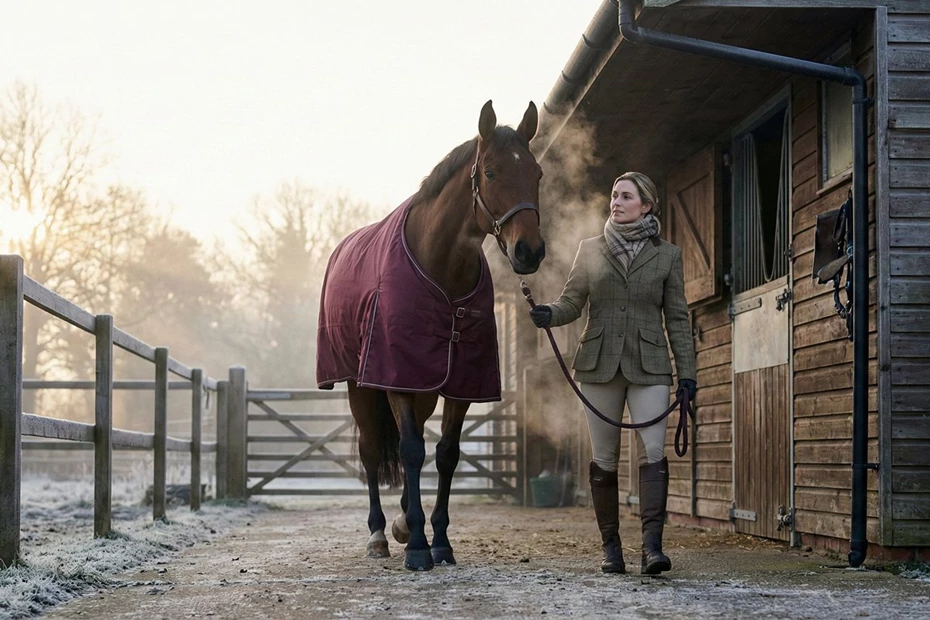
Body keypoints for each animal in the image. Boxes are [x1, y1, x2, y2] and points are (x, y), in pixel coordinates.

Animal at [316, 100, 545, 570]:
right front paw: (419, 546)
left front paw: (437, 539)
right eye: (490, 172)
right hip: (360, 386)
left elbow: (445, 455)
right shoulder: (397, 377)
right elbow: (410, 451)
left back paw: (403, 521)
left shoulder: (460, 382)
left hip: (422, 387)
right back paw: (379, 534)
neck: (440, 267)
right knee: (373, 450)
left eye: (537, 174)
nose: (529, 252)